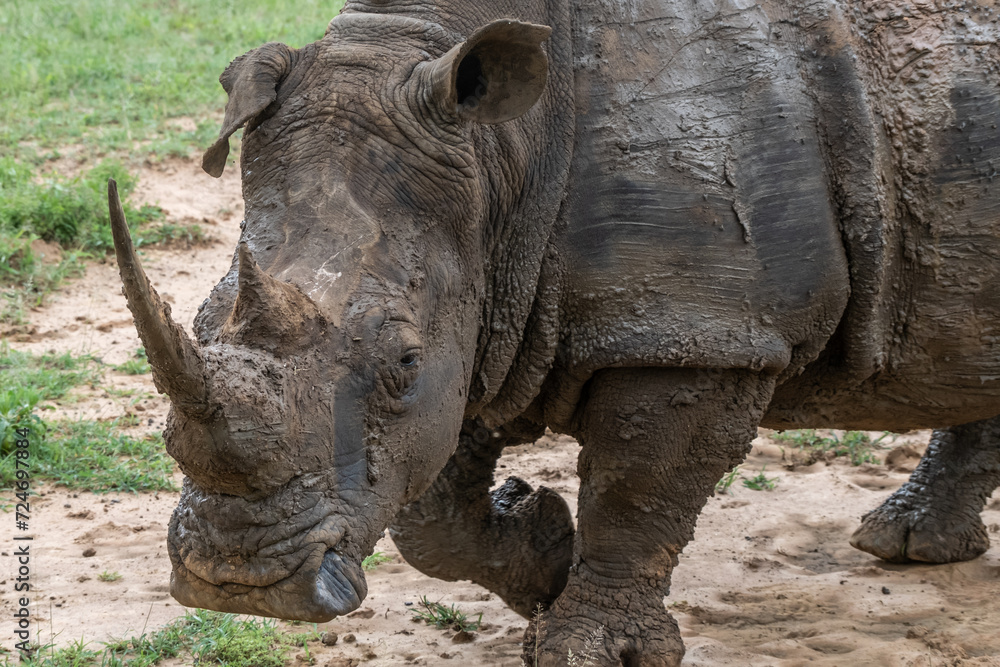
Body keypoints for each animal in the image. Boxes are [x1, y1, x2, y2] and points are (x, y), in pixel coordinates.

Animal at [108, 0, 1000, 664]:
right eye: (200, 323)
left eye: (404, 359)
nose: (236, 581)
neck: (505, 153)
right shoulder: (485, 300)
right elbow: (433, 512)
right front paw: (542, 549)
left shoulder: (705, 330)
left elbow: (637, 491)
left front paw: (589, 646)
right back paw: (906, 545)